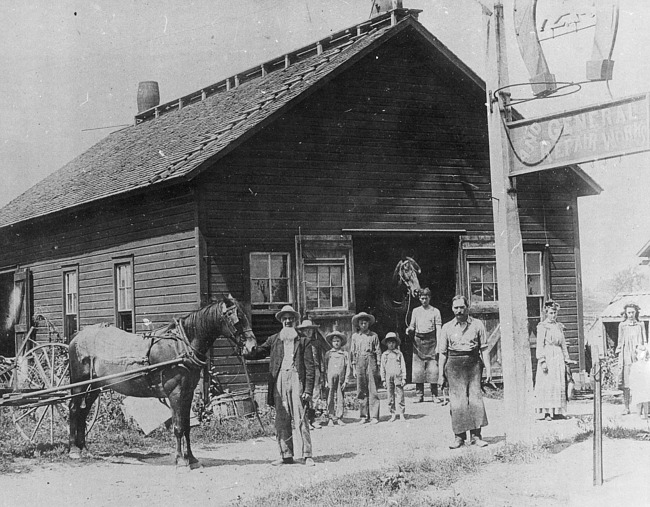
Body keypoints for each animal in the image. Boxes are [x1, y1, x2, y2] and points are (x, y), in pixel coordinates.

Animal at [68, 298, 254, 468]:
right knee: (74, 409)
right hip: (79, 384)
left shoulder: (188, 392)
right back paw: (73, 450)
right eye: (237, 318)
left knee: (83, 412)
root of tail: (77, 336)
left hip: (94, 387)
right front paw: (180, 460)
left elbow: (187, 426)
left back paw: (83, 448)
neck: (181, 346)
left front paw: (191, 458)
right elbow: (178, 426)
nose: (252, 347)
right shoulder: (175, 392)